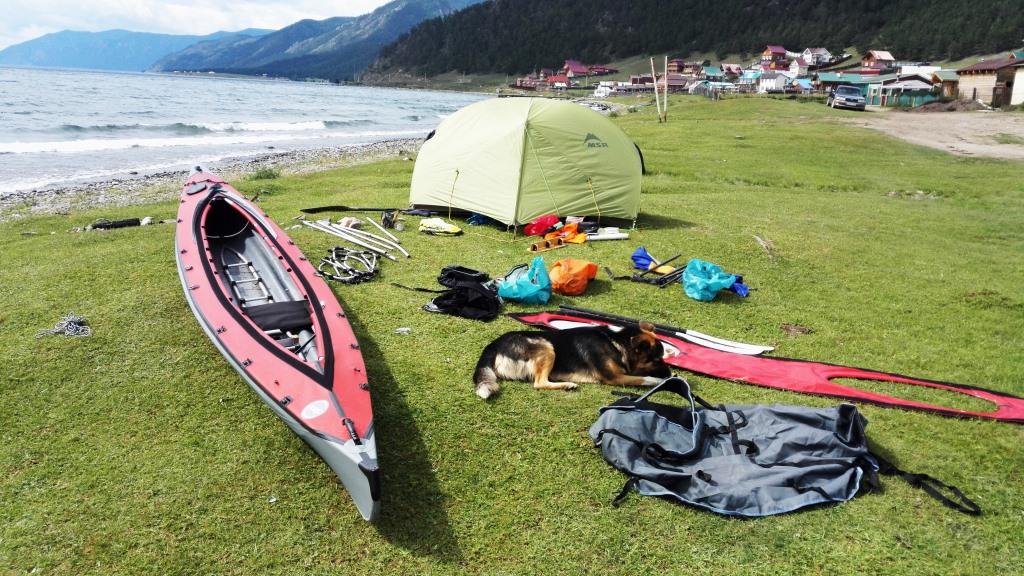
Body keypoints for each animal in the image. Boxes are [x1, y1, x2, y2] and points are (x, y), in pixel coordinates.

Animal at [473, 321, 672, 399]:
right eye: (657, 359)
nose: (671, 372)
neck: (616, 341)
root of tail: (493, 345)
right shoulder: (614, 378)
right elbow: (645, 378)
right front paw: (662, 380)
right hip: (547, 347)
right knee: (539, 383)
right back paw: (567, 385)